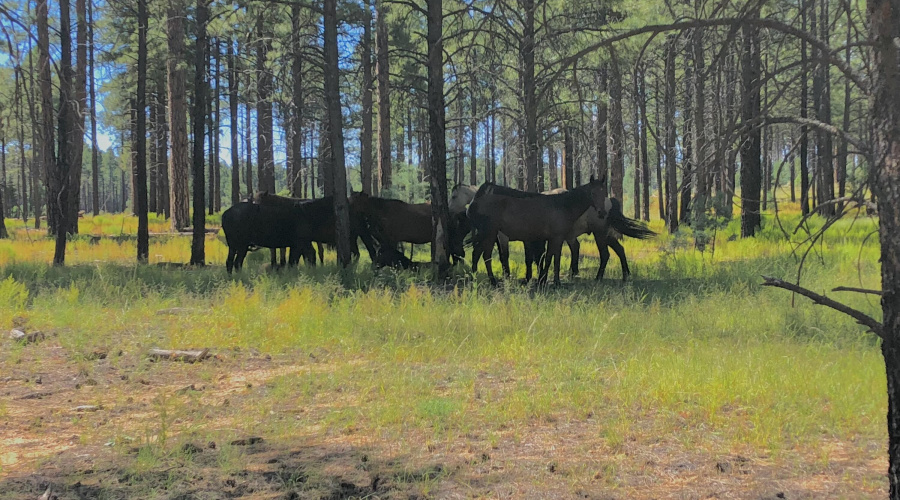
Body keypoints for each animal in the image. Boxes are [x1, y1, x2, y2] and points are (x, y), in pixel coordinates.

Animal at [466, 175, 608, 285]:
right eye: (593, 193)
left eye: (604, 193)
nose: (602, 213)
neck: (563, 206)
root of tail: (474, 204)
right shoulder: (555, 238)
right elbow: (551, 259)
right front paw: (548, 281)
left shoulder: (556, 238)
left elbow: (552, 258)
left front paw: (548, 280)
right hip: (489, 233)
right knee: (483, 255)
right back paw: (490, 281)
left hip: (487, 234)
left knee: (478, 254)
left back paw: (477, 279)